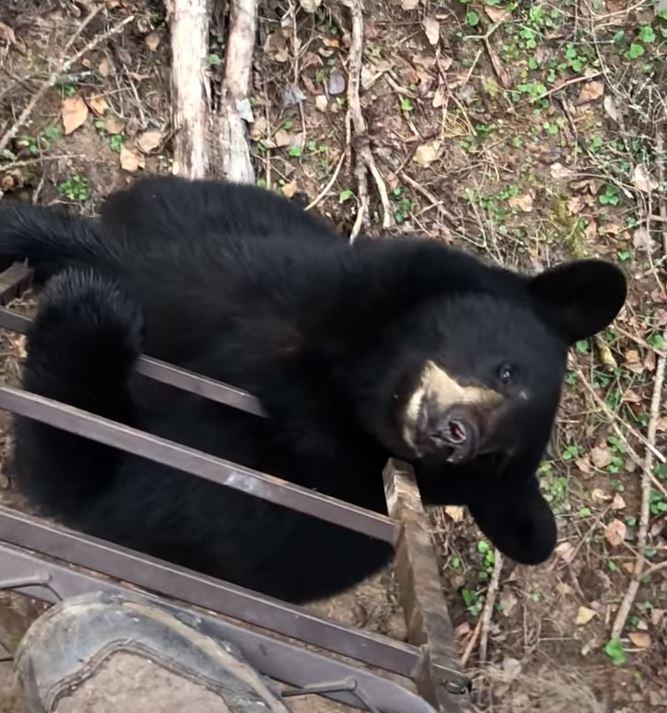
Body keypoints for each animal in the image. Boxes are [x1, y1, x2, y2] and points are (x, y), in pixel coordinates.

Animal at [0, 177, 628, 600]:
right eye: (507, 372)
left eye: (492, 459)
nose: (458, 436)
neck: (345, 385)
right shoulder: (297, 286)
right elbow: (159, 265)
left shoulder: (269, 497)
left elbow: (92, 476)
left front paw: (91, 309)